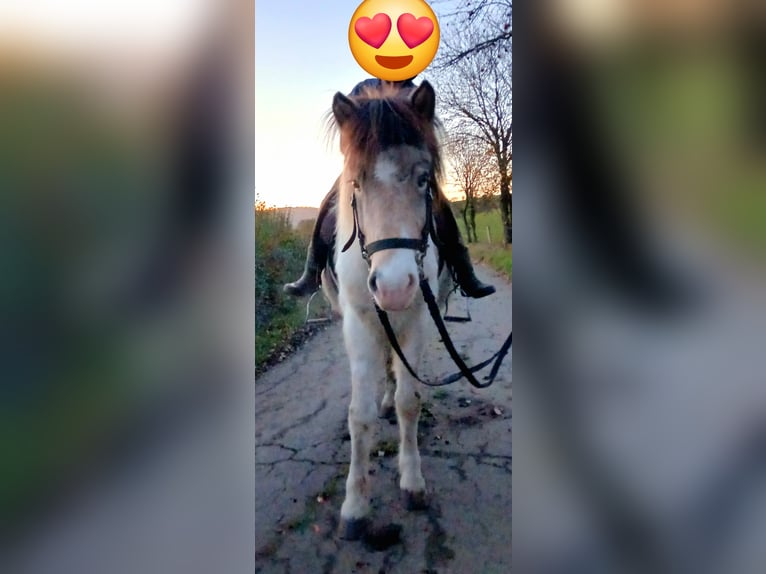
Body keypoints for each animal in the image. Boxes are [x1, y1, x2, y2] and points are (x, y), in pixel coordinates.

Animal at [320, 80, 452, 539]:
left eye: (423, 178)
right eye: (356, 184)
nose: (394, 287)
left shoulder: (417, 320)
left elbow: (408, 401)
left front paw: (411, 481)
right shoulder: (360, 325)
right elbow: (359, 417)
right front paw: (355, 507)